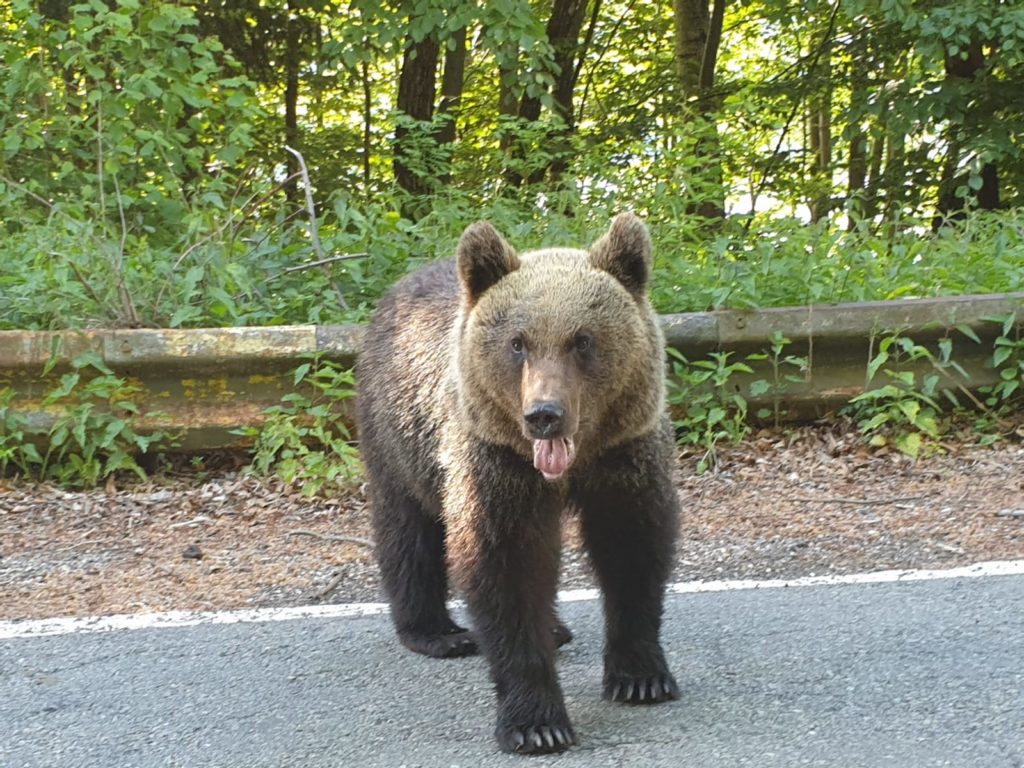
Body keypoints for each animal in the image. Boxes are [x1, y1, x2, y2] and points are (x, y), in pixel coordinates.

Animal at [356, 214, 675, 753]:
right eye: (518, 342)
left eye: (582, 339)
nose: (544, 414)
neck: (569, 465)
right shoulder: (495, 462)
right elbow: (507, 566)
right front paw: (537, 722)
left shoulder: (623, 454)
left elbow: (632, 548)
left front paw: (641, 676)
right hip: (398, 433)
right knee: (408, 530)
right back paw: (438, 632)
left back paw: (557, 629)